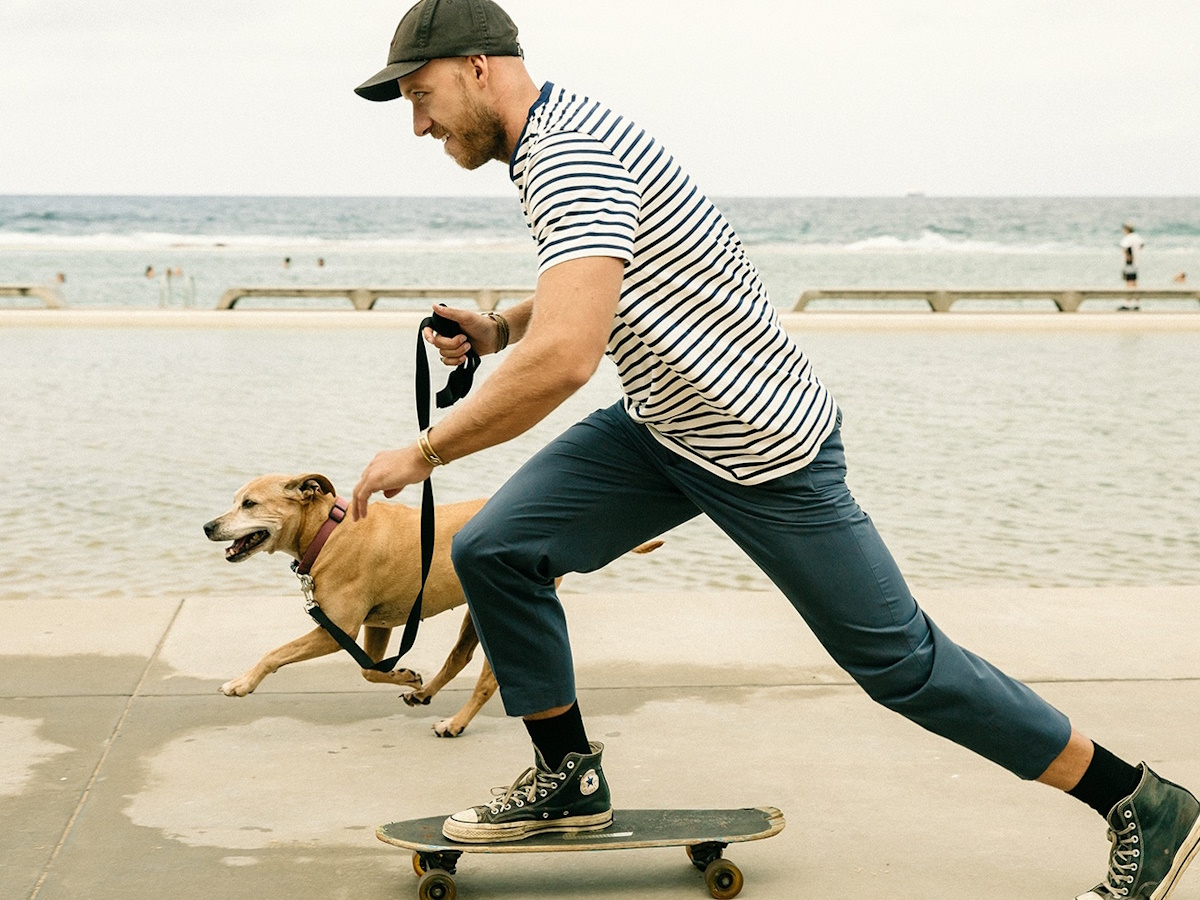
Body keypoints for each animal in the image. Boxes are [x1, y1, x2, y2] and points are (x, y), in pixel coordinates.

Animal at [202, 475, 662, 734]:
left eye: (249, 504)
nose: (207, 526)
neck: (327, 531)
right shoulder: (377, 625)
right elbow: (370, 669)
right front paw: (406, 676)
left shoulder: (336, 629)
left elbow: (275, 652)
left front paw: (241, 683)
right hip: (474, 616)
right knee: (457, 659)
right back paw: (424, 694)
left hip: (495, 613)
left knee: (487, 680)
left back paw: (455, 724)